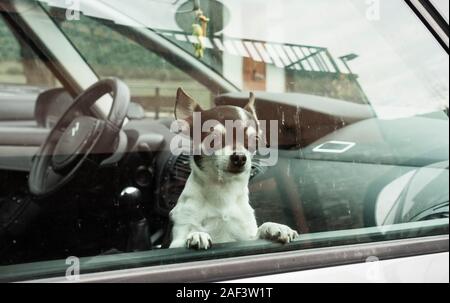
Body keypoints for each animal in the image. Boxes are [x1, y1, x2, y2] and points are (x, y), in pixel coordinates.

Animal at [169, 88, 298, 249]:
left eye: (255, 139)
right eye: (213, 138)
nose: (240, 157)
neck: (223, 191)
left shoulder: (246, 238)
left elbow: (260, 229)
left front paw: (275, 227)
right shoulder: (179, 233)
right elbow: (186, 236)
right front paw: (197, 234)